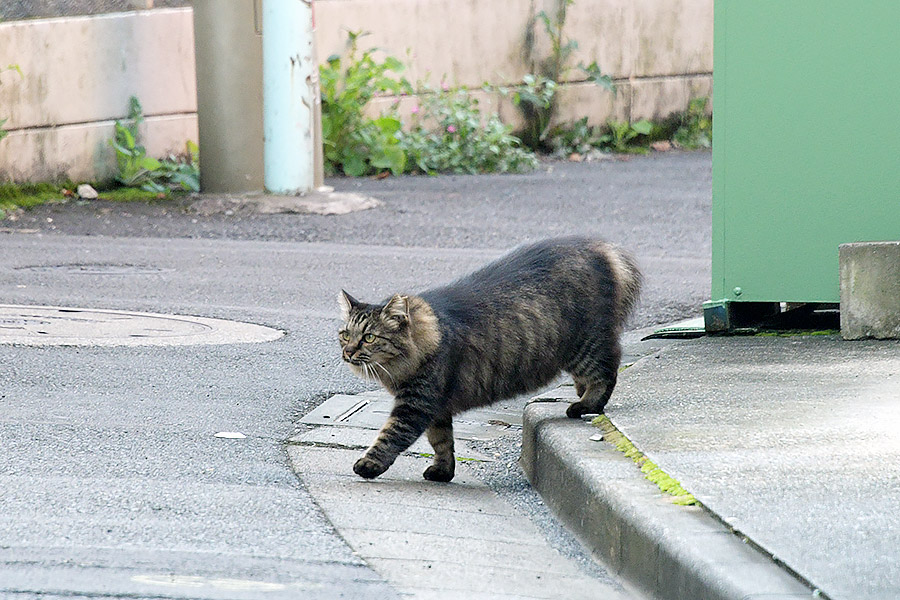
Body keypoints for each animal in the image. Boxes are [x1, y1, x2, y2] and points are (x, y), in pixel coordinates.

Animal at [338, 237, 640, 480]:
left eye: (369, 337)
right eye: (345, 334)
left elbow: (390, 436)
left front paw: (368, 465)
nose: (348, 351)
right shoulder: (436, 409)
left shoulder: (416, 403)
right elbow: (442, 442)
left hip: (586, 344)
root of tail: (601, 249)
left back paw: (586, 405)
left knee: (606, 373)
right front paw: (443, 472)